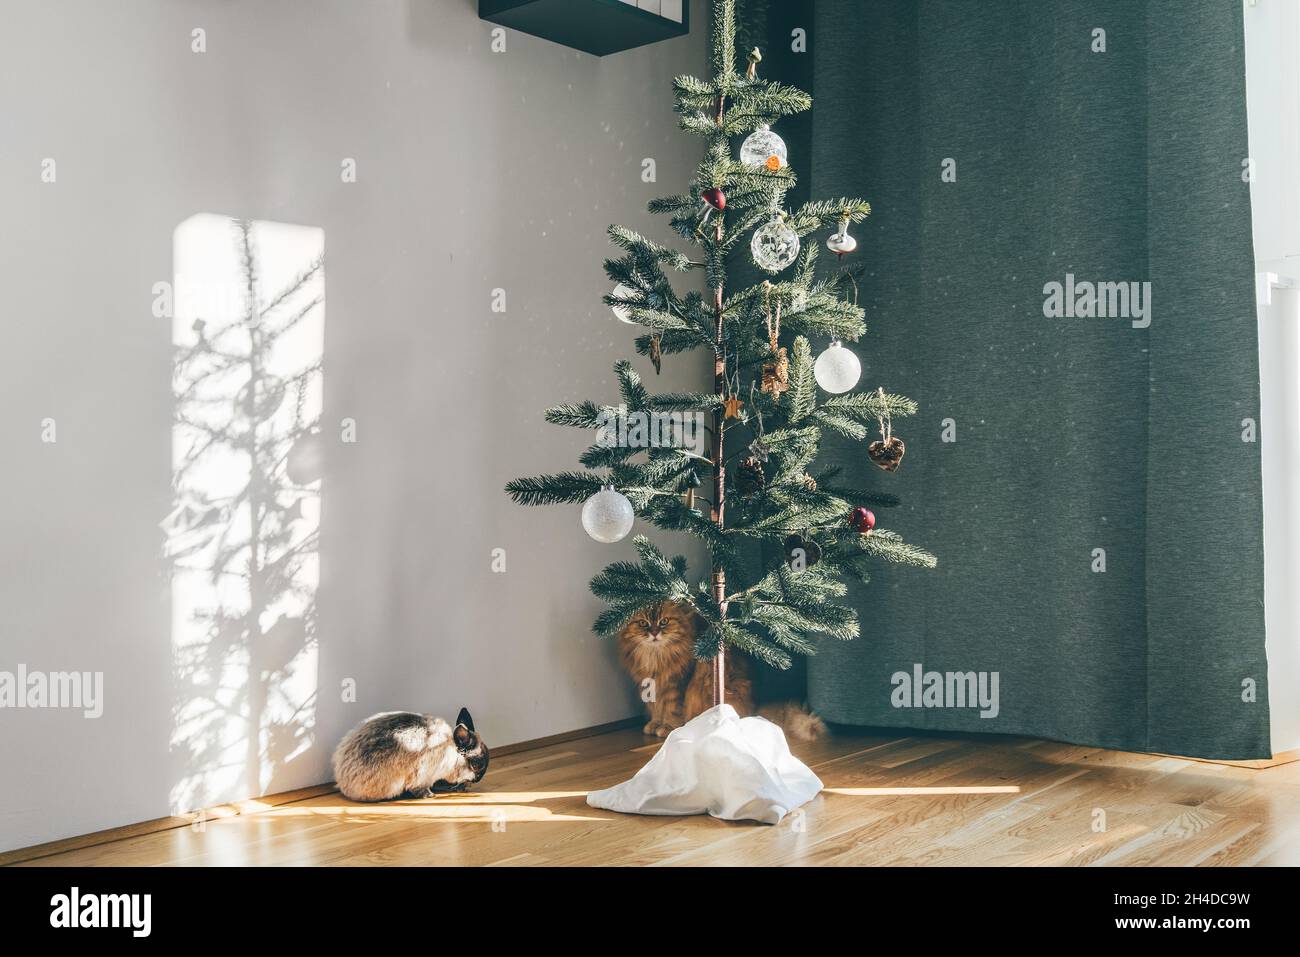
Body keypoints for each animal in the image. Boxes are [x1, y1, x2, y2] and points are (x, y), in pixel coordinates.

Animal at [332, 702, 488, 800]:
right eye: (476, 765)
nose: (478, 779)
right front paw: (429, 795)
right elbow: (420, 788)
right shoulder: (422, 776)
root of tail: (342, 781)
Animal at [616, 600, 821, 743]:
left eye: (664, 621)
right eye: (643, 623)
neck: (655, 656)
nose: (654, 633)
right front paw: (655, 724)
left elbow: (672, 710)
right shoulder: (652, 685)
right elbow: (656, 709)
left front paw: (667, 728)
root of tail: (754, 708)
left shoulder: (676, 684)